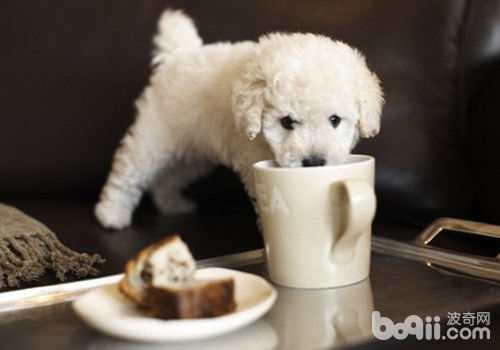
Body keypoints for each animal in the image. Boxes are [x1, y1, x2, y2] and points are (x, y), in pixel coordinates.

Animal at [94, 9, 382, 228]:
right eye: (287, 122)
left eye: (335, 120)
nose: (313, 163)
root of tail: (179, 55)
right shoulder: (253, 159)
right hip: (154, 137)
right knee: (128, 172)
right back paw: (111, 213)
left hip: (194, 153)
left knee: (167, 178)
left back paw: (173, 204)